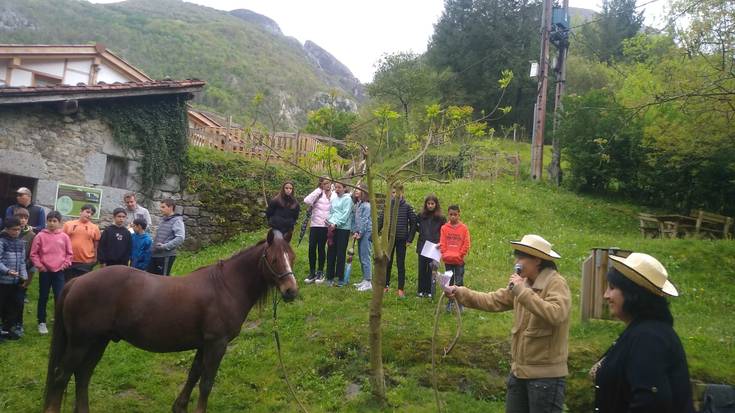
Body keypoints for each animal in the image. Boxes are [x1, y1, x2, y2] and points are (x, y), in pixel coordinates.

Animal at [42, 229, 300, 412]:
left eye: (292, 257)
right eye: (274, 259)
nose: (291, 291)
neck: (225, 286)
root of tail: (76, 281)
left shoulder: (204, 344)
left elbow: (194, 375)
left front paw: (179, 407)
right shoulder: (217, 343)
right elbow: (206, 382)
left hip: (98, 341)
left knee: (82, 375)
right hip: (81, 343)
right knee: (61, 376)